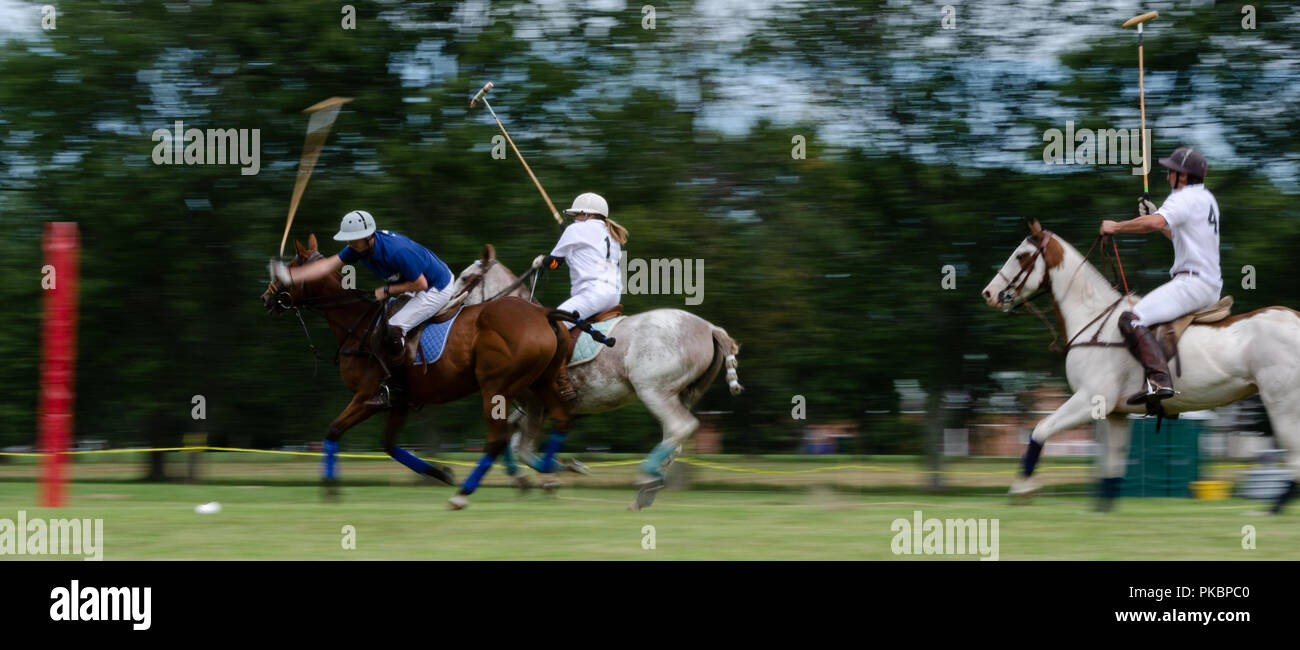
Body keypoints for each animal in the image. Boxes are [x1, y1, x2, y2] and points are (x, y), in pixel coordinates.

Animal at [261, 232, 572, 506]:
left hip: (497, 388)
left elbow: (333, 431)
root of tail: (543, 313)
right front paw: (441, 472)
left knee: (498, 440)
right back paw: (550, 473)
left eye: (289, 270)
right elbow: (388, 444)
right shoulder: (399, 402)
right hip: (538, 382)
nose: (266, 298)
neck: (358, 326)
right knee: (559, 419)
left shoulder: (367, 395)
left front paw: (330, 488)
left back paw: (465, 495)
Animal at [452, 245, 748, 509]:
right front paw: (533, 479)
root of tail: (709, 328)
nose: (449, 307)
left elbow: (522, 447)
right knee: (674, 438)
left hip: (653, 390)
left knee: (679, 427)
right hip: (682, 393)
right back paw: (648, 490)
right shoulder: (531, 405)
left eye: (465, 277)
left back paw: (645, 477)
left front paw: (563, 470)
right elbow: (515, 442)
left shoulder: (533, 403)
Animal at [977, 219, 1294, 512]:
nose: (988, 294)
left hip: (1281, 400)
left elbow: (1040, 430)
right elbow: (1113, 466)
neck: (1091, 319)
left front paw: (1022, 489)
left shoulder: (1092, 399)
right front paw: (1101, 512)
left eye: (1021, 255)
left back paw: (1271, 511)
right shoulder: (1116, 413)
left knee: (1294, 454)